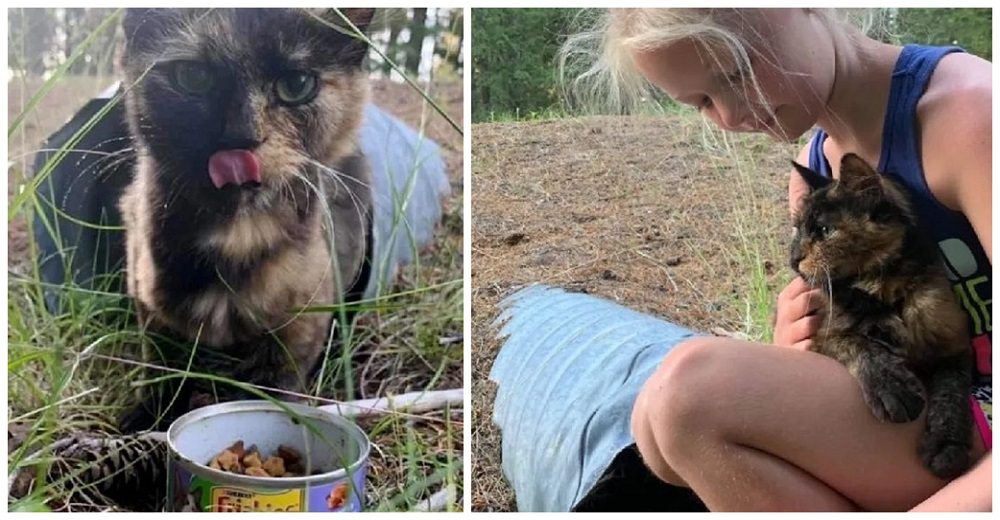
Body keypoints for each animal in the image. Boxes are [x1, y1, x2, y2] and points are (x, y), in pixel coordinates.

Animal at [114, 8, 378, 432]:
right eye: (193, 76)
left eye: (297, 85)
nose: (241, 137)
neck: (239, 235)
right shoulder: (152, 310)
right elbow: (163, 373)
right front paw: (145, 423)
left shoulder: (299, 328)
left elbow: (269, 394)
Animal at [792, 153, 972, 480]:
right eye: (797, 230)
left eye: (824, 231)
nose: (793, 258)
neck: (883, 295)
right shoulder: (821, 337)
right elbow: (858, 344)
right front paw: (892, 387)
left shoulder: (953, 347)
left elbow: (950, 393)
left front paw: (946, 446)